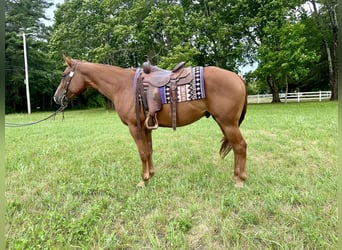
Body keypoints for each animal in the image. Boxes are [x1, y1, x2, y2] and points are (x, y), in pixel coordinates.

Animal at [53, 55, 247, 187]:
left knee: (240, 146)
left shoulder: (134, 127)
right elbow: (149, 151)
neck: (122, 86)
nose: (56, 98)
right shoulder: (146, 128)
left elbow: (142, 153)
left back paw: (240, 179)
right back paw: (235, 176)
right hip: (224, 122)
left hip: (228, 123)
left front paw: (144, 180)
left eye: (63, 75)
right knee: (236, 147)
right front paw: (151, 175)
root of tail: (238, 77)